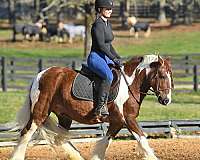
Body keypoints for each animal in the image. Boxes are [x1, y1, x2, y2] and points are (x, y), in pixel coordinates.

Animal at [10, 54, 173, 160]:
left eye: (171, 76)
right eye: (162, 76)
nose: (166, 100)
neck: (130, 84)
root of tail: (40, 75)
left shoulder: (117, 122)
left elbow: (105, 143)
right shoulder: (128, 119)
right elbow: (143, 140)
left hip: (64, 116)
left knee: (60, 138)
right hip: (40, 113)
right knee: (26, 133)